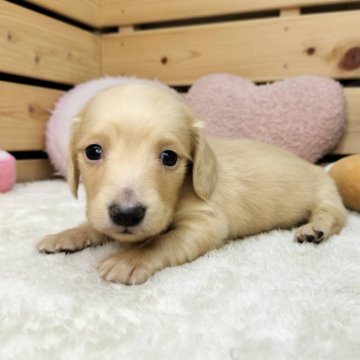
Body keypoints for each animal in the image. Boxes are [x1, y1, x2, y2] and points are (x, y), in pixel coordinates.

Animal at [37, 83, 346, 284]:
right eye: (93, 151)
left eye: (169, 157)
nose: (126, 214)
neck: (178, 194)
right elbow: (94, 224)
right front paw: (66, 235)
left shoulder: (205, 223)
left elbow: (161, 241)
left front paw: (129, 259)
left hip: (325, 194)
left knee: (332, 215)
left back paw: (313, 230)